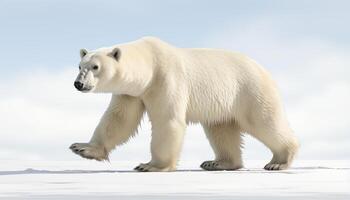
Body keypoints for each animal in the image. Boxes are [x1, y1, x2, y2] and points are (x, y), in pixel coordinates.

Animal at [69, 37, 300, 172]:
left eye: (95, 67)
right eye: (80, 65)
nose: (78, 84)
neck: (150, 62)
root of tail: (263, 68)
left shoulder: (165, 79)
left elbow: (167, 121)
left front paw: (150, 166)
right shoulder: (132, 93)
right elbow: (119, 119)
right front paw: (82, 148)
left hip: (248, 91)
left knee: (264, 121)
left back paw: (278, 161)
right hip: (222, 101)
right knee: (221, 129)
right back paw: (217, 162)